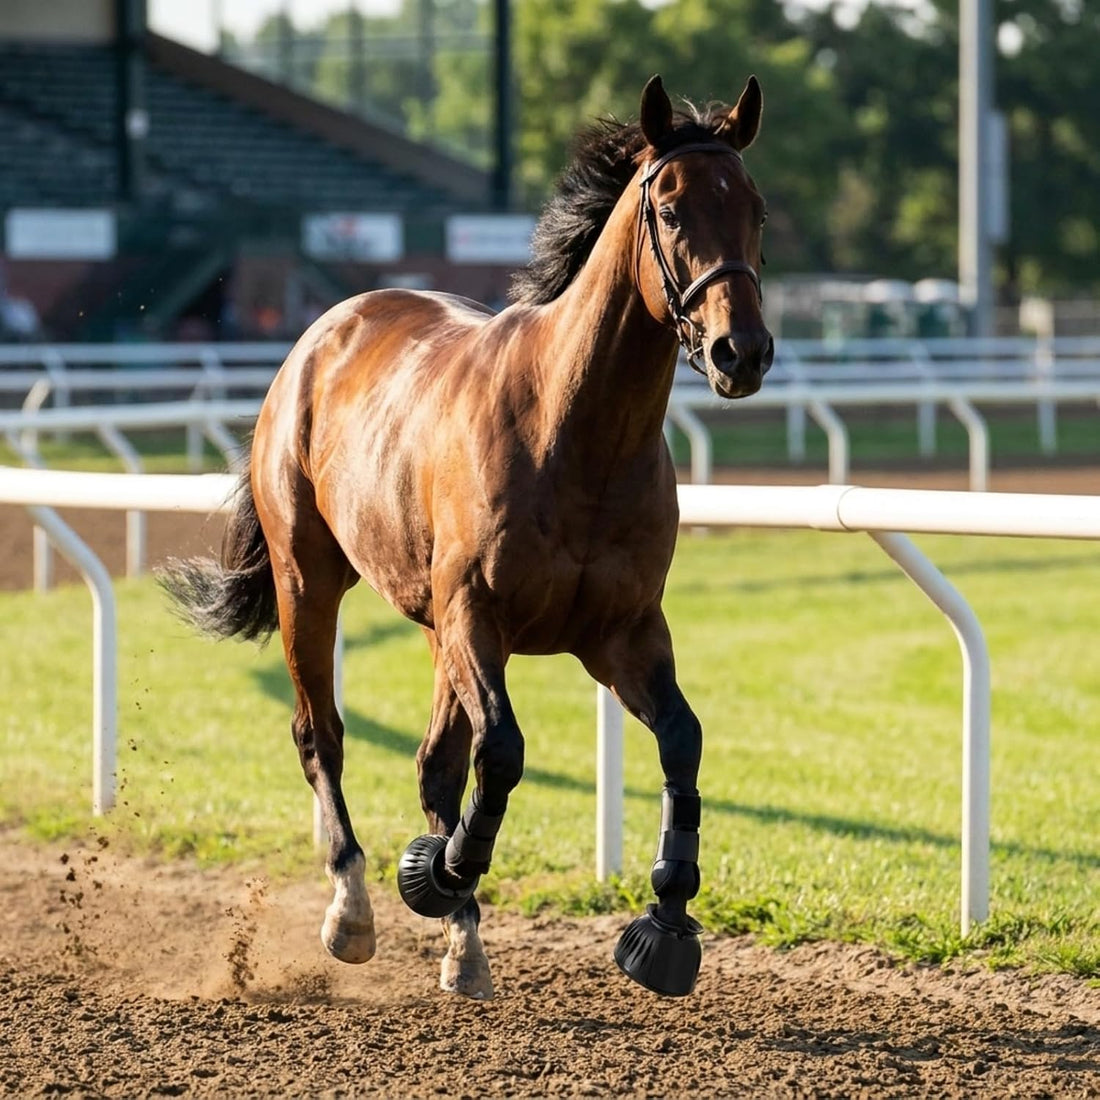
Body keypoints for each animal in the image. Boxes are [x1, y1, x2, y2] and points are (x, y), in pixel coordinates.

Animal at [162, 73, 772, 999]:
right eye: (669, 208)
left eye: (757, 211)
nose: (744, 351)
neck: (576, 432)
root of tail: (324, 328)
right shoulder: (477, 616)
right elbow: (506, 751)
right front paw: (438, 871)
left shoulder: (623, 632)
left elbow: (682, 740)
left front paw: (665, 925)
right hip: (311, 579)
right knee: (321, 733)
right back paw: (356, 906)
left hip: (428, 620)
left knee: (434, 760)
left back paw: (464, 942)